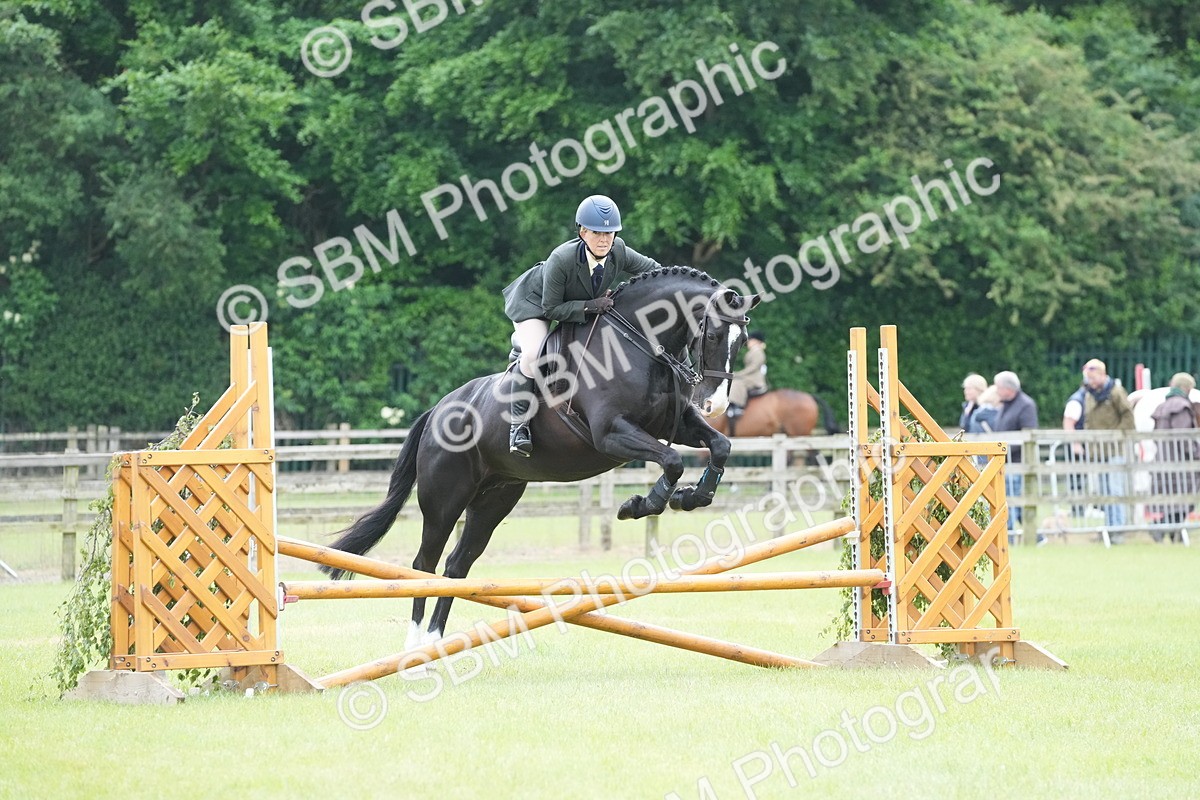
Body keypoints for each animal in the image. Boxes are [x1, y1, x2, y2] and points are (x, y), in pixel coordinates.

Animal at [322, 267, 761, 646]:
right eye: (713, 334)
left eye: (742, 341)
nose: (716, 405)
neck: (638, 346)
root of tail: (437, 411)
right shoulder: (610, 433)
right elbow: (672, 461)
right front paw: (639, 504)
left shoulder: (677, 424)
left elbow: (719, 447)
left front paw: (693, 497)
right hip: (444, 500)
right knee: (424, 565)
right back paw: (414, 647)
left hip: (494, 500)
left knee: (457, 567)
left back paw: (434, 645)